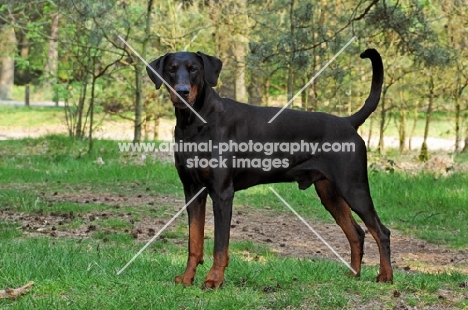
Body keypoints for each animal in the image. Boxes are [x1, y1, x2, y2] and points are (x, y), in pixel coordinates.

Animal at [146, 47, 392, 288]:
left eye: (194, 69)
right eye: (171, 69)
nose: (182, 91)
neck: (194, 122)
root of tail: (348, 122)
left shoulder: (222, 193)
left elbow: (220, 246)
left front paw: (214, 279)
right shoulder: (193, 190)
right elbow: (194, 241)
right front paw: (187, 278)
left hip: (353, 187)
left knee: (382, 232)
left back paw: (385, 276)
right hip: (330, 193)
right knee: (357, 233)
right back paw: (353, 274)